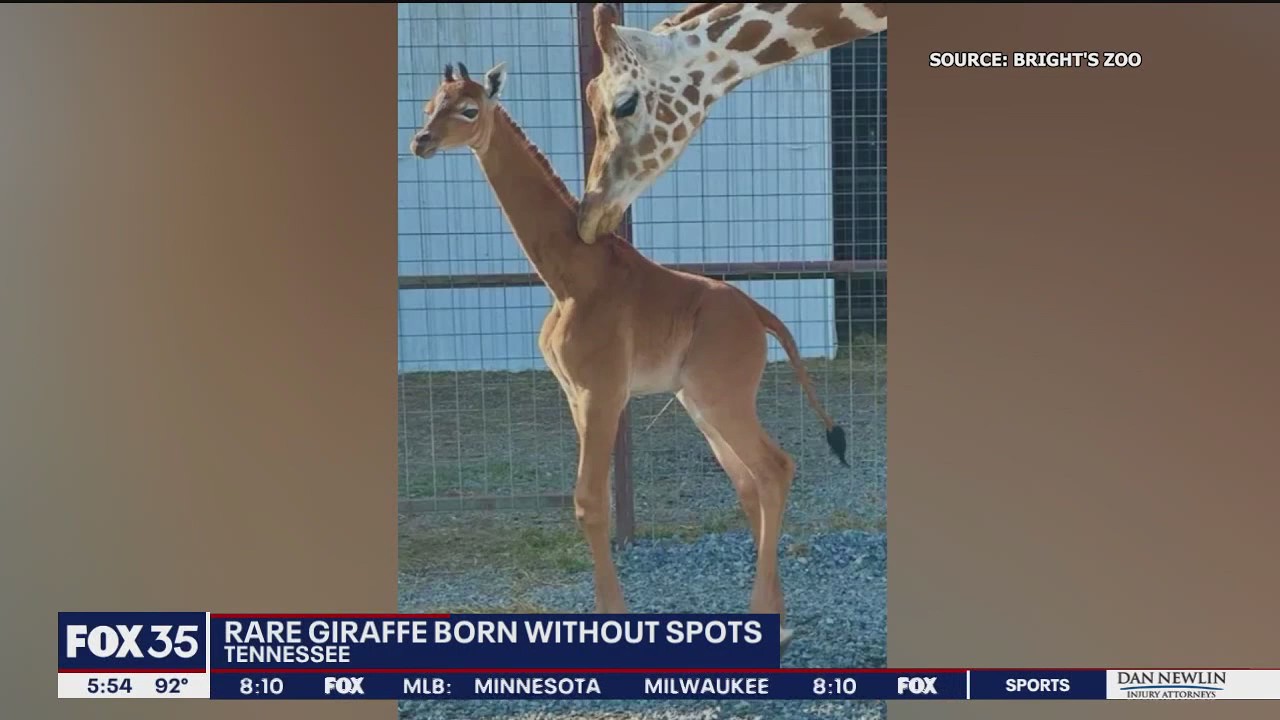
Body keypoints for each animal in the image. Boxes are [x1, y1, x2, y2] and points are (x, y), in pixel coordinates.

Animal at [409, 60, 850, 652]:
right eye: (429, 103)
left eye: (469, 109)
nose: (421, 141)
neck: (570, 277)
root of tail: (761, 315)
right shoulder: (575, 395)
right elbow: (592, 504)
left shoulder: (602, 392)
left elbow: (591, 502)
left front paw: (611, 616)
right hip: (699, 403)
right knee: (749, 482)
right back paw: (774, 621)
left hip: (723, 396)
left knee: (775, 469)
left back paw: (769, 620)